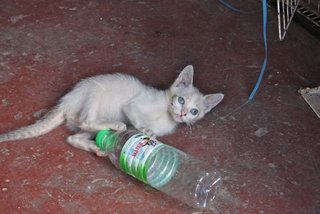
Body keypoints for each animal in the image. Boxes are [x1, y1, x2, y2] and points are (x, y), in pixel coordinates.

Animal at [0, 65, 224, 155]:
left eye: (195, 111)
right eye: (180, 99)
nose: (183, 113)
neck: (166, 115)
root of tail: (65, 102)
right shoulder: (133, 105)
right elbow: (135, 115)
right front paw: (146, 130)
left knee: (73, 137)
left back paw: (96, 146)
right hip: (94, 91)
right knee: (86, 120)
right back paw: (116, 126)